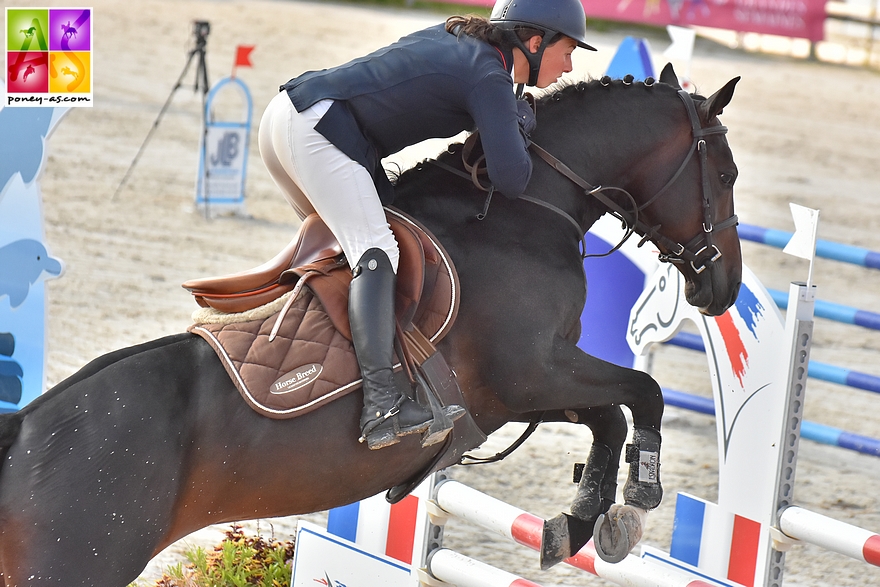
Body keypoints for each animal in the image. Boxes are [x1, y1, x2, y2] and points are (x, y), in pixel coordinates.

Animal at [0, 65, 744, 587]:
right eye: (726, 173)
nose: (723, 288)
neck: (526, 209)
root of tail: (26, 430)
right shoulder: (530, 372)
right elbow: (641, 392)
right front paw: (632, 497)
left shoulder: (521, 391)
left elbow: (612, 412)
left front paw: (581, 520)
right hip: (76, 563)